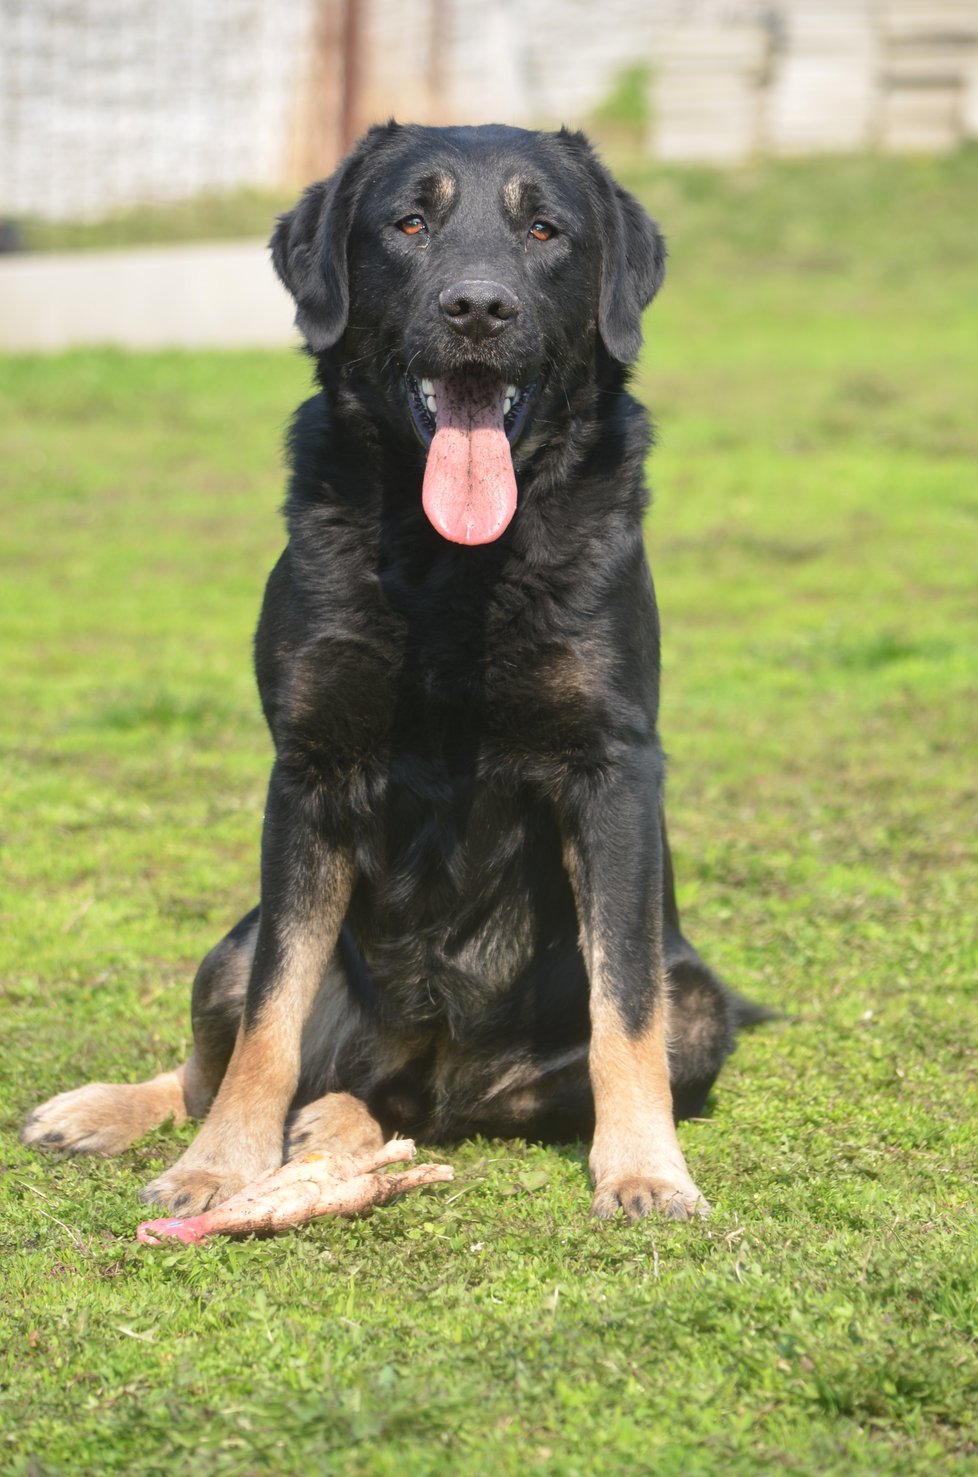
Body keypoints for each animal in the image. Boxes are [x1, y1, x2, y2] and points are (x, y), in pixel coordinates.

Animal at [21, 121, 768, 1222]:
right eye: (412, 223)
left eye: (544, 230)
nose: (479, 307)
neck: (452, 564)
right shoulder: (309, 773)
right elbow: (272, 1019)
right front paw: (220, 1164)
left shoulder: (614, 770)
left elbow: (625, 1005)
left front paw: (644, 1169)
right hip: (229, 943)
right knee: (232, 1051)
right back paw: (121, 1110)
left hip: (700, 1007)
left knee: (437, 1096)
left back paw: (344, 1125)